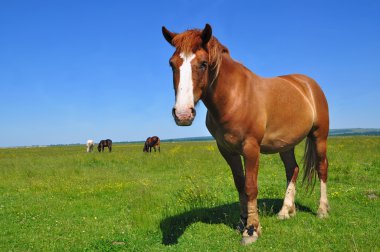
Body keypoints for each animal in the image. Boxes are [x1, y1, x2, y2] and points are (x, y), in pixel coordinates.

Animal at [163, 23, 330, 244]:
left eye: (203, 63)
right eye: (172, 64)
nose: (183, 114)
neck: (235, 96)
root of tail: (308, 85)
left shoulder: (251, 148)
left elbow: (251, 187)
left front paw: (251, 230)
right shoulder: (227, 150)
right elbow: (240, 185)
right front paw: (242, 222)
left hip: (320, 136)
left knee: (321, 168)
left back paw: (322, 210)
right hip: (286, 144)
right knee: (292, 169)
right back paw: (286, 211)